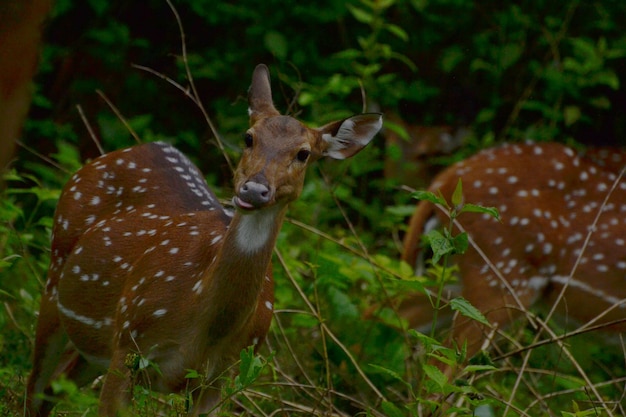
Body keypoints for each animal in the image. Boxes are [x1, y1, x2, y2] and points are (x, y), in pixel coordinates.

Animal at [25, 63, 380, 414]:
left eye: (304, 153)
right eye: (248, 137)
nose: (254, 190)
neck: (199, 324)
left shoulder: (222, 374)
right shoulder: (129, 341)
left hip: (94, 346)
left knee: (55, 387)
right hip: (55, 278)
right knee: (36, 387)